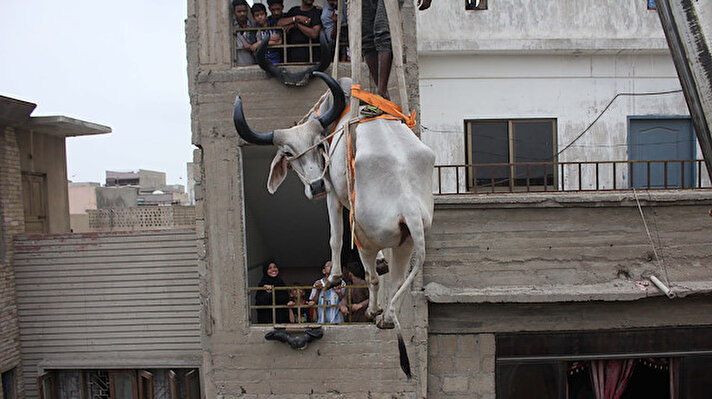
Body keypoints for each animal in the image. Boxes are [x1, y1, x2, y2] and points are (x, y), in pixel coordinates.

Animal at [234, 72, 434, 378]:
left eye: (319, 144)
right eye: (288, 153)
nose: (315, 185)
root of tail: (410, 206)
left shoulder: (333, 196)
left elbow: (336, 238)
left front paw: (333, 277)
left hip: (365, 236)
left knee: (372, 276)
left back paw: (373, 310)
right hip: (407, 241)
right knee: (397, 278)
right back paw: (386, 316)